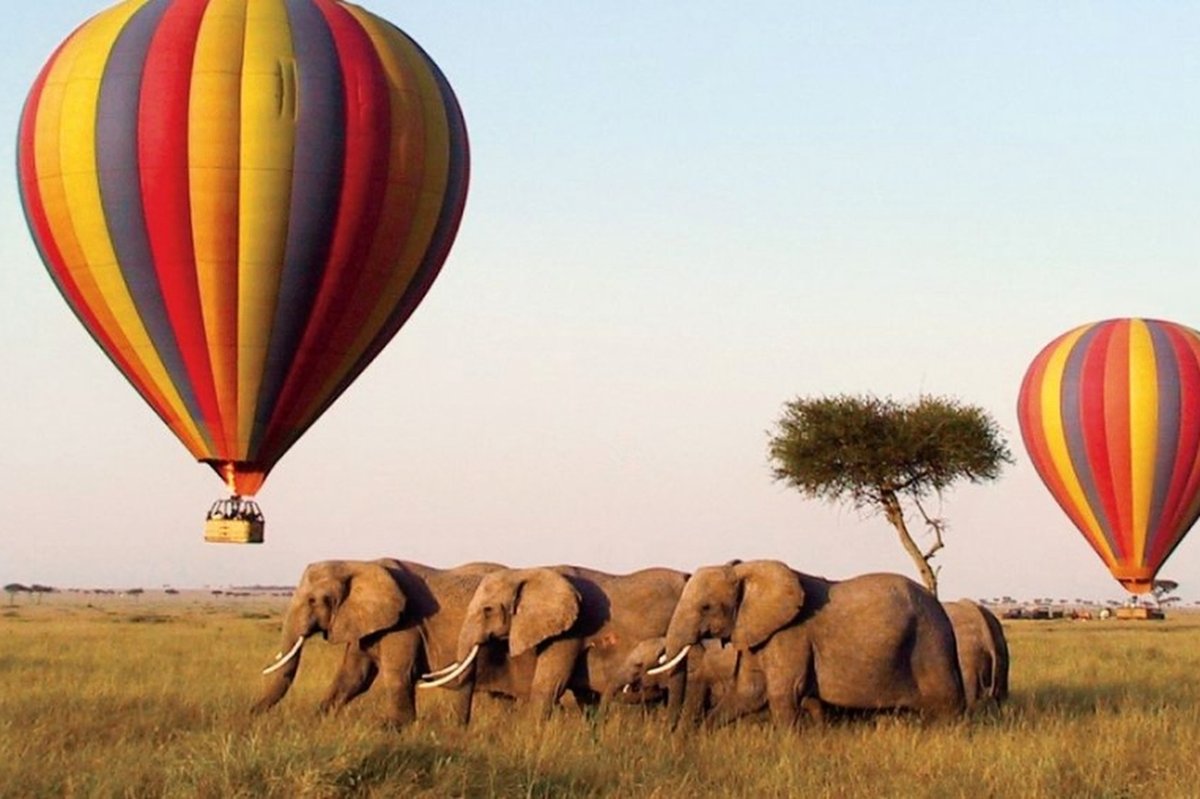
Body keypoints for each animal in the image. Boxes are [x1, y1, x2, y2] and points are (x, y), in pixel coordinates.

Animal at [252, 559, 503, 726]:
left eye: (314, 600)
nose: (250, 714)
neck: (358, 564)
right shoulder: (363, 622)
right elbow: (353, 678)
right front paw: (316, 722)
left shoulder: (405, 623)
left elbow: (399, 676)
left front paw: (395, 730)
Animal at [417, 565, 689, 719]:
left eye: (487, 610)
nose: (461, 732)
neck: (527, 572)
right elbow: (582, 694)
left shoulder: (571, 630)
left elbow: (548, 685)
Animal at [650, 560, 966, 728]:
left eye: (705, 607)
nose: (670, 732)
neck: (747, 570)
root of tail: (940, 607)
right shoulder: (756, 630)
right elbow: (748, 691)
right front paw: (701, 735)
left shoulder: (790, 634)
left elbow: (782, 693)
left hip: (930, 643)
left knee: (946, 709)